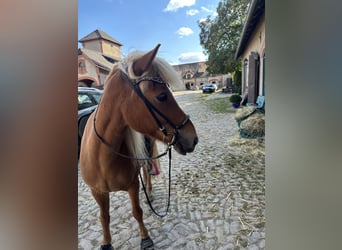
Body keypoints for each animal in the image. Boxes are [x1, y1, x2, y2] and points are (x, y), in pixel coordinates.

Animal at [80, 44, 198, 249]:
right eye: (162, 96)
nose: (193, 138)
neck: (102, 157)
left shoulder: (133, 185)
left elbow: (137, 211)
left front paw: (145, 238)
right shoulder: (97, 192)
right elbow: (104, 217)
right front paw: (106, 242)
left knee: (147, 170)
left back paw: (149, 191)